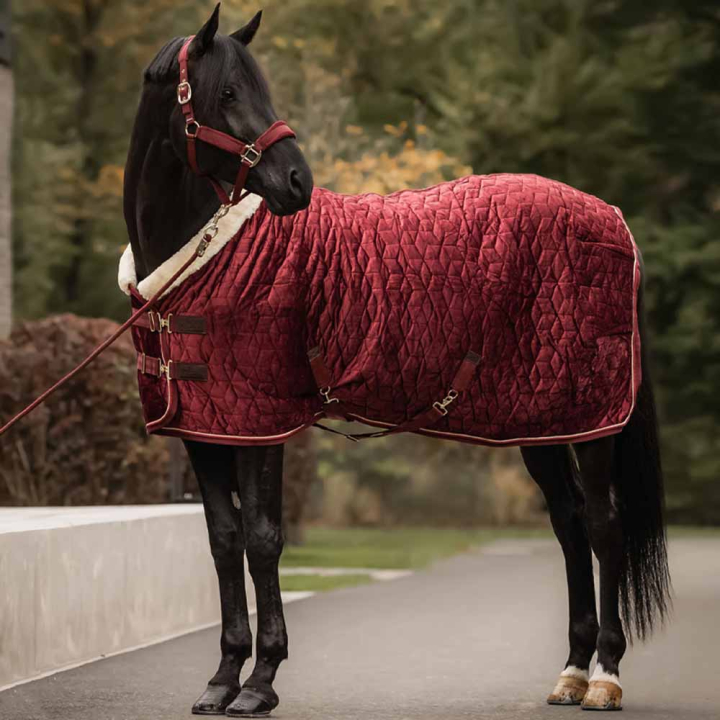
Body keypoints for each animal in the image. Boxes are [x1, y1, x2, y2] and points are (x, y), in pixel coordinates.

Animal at [122, 5, 670, 716]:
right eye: (229, 93)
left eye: (256, 88)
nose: (297, 181)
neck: (202, 259)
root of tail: (610, 218)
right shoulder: (207, 430)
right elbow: (223, 541)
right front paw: (221, 680)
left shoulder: (260, 426)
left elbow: (264, 539)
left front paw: (261, 681)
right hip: (542, 421)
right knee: (571, 524)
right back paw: (572, 673)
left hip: (593, 420)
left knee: (604, 526)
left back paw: (605, 674)